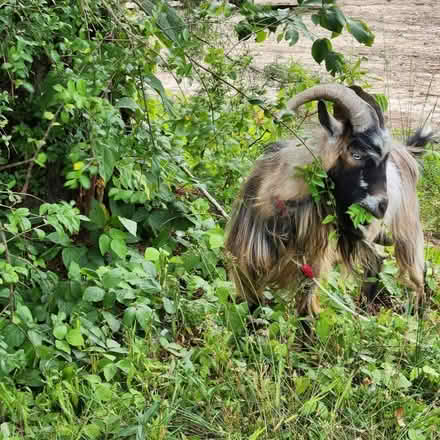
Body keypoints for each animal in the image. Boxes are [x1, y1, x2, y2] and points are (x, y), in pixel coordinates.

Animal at [227, 82, 434, 318]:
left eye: (384, 159)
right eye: (356, 154)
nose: (382, 206)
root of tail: (408, 153)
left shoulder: (312, 264)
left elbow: (305, 310)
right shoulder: (246, 262)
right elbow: (251, 304)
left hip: (405, 230)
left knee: (417, 274)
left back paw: (415, 317)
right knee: (377, 260)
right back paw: (364, 309)